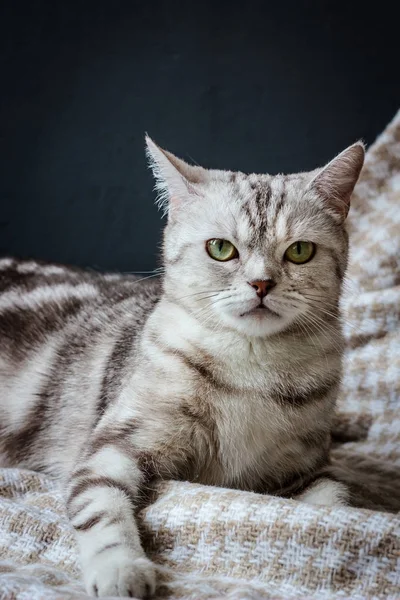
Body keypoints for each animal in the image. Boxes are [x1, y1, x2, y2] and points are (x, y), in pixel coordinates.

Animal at [0, 138, 366, 596]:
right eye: (221, 248)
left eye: (299, 251)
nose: (261, 283)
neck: (253, 366)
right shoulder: (113, 446)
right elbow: (101, 505)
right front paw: (121, 567)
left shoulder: (306, 468)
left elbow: (337, 504)